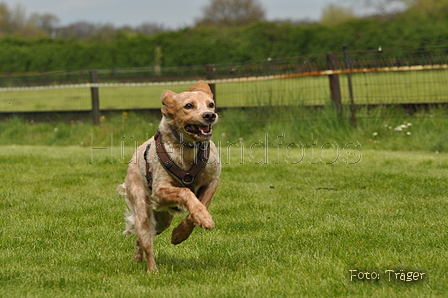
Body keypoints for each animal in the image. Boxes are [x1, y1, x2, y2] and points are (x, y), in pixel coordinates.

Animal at [116, 80, 220, 274]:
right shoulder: (159, 190)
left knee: (140, 239)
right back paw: (152, 271)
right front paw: (202, 217)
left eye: (211, 104)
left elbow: (200, 205)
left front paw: (181, 233)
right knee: (146, 240)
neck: (188, 148)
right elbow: (186, 192)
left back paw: (138, 259)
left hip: (162, 220)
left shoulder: (212, 181)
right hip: (143, 209)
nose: (210, 115)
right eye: (188, 106)